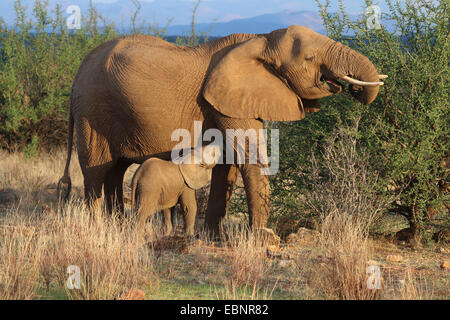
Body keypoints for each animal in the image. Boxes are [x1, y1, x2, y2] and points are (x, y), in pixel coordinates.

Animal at [58, 25, 384, 235]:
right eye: (308, 59)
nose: (355, 89)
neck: (260, 40)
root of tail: (75, 79)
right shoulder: (223, 102)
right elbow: (248, 159)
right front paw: (261, 238)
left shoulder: (231, 102)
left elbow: (228, 162)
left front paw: (215, 237)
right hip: (92, 113)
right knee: (96, 173)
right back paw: (99, 228)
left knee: (115, 170)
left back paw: (117, 225)